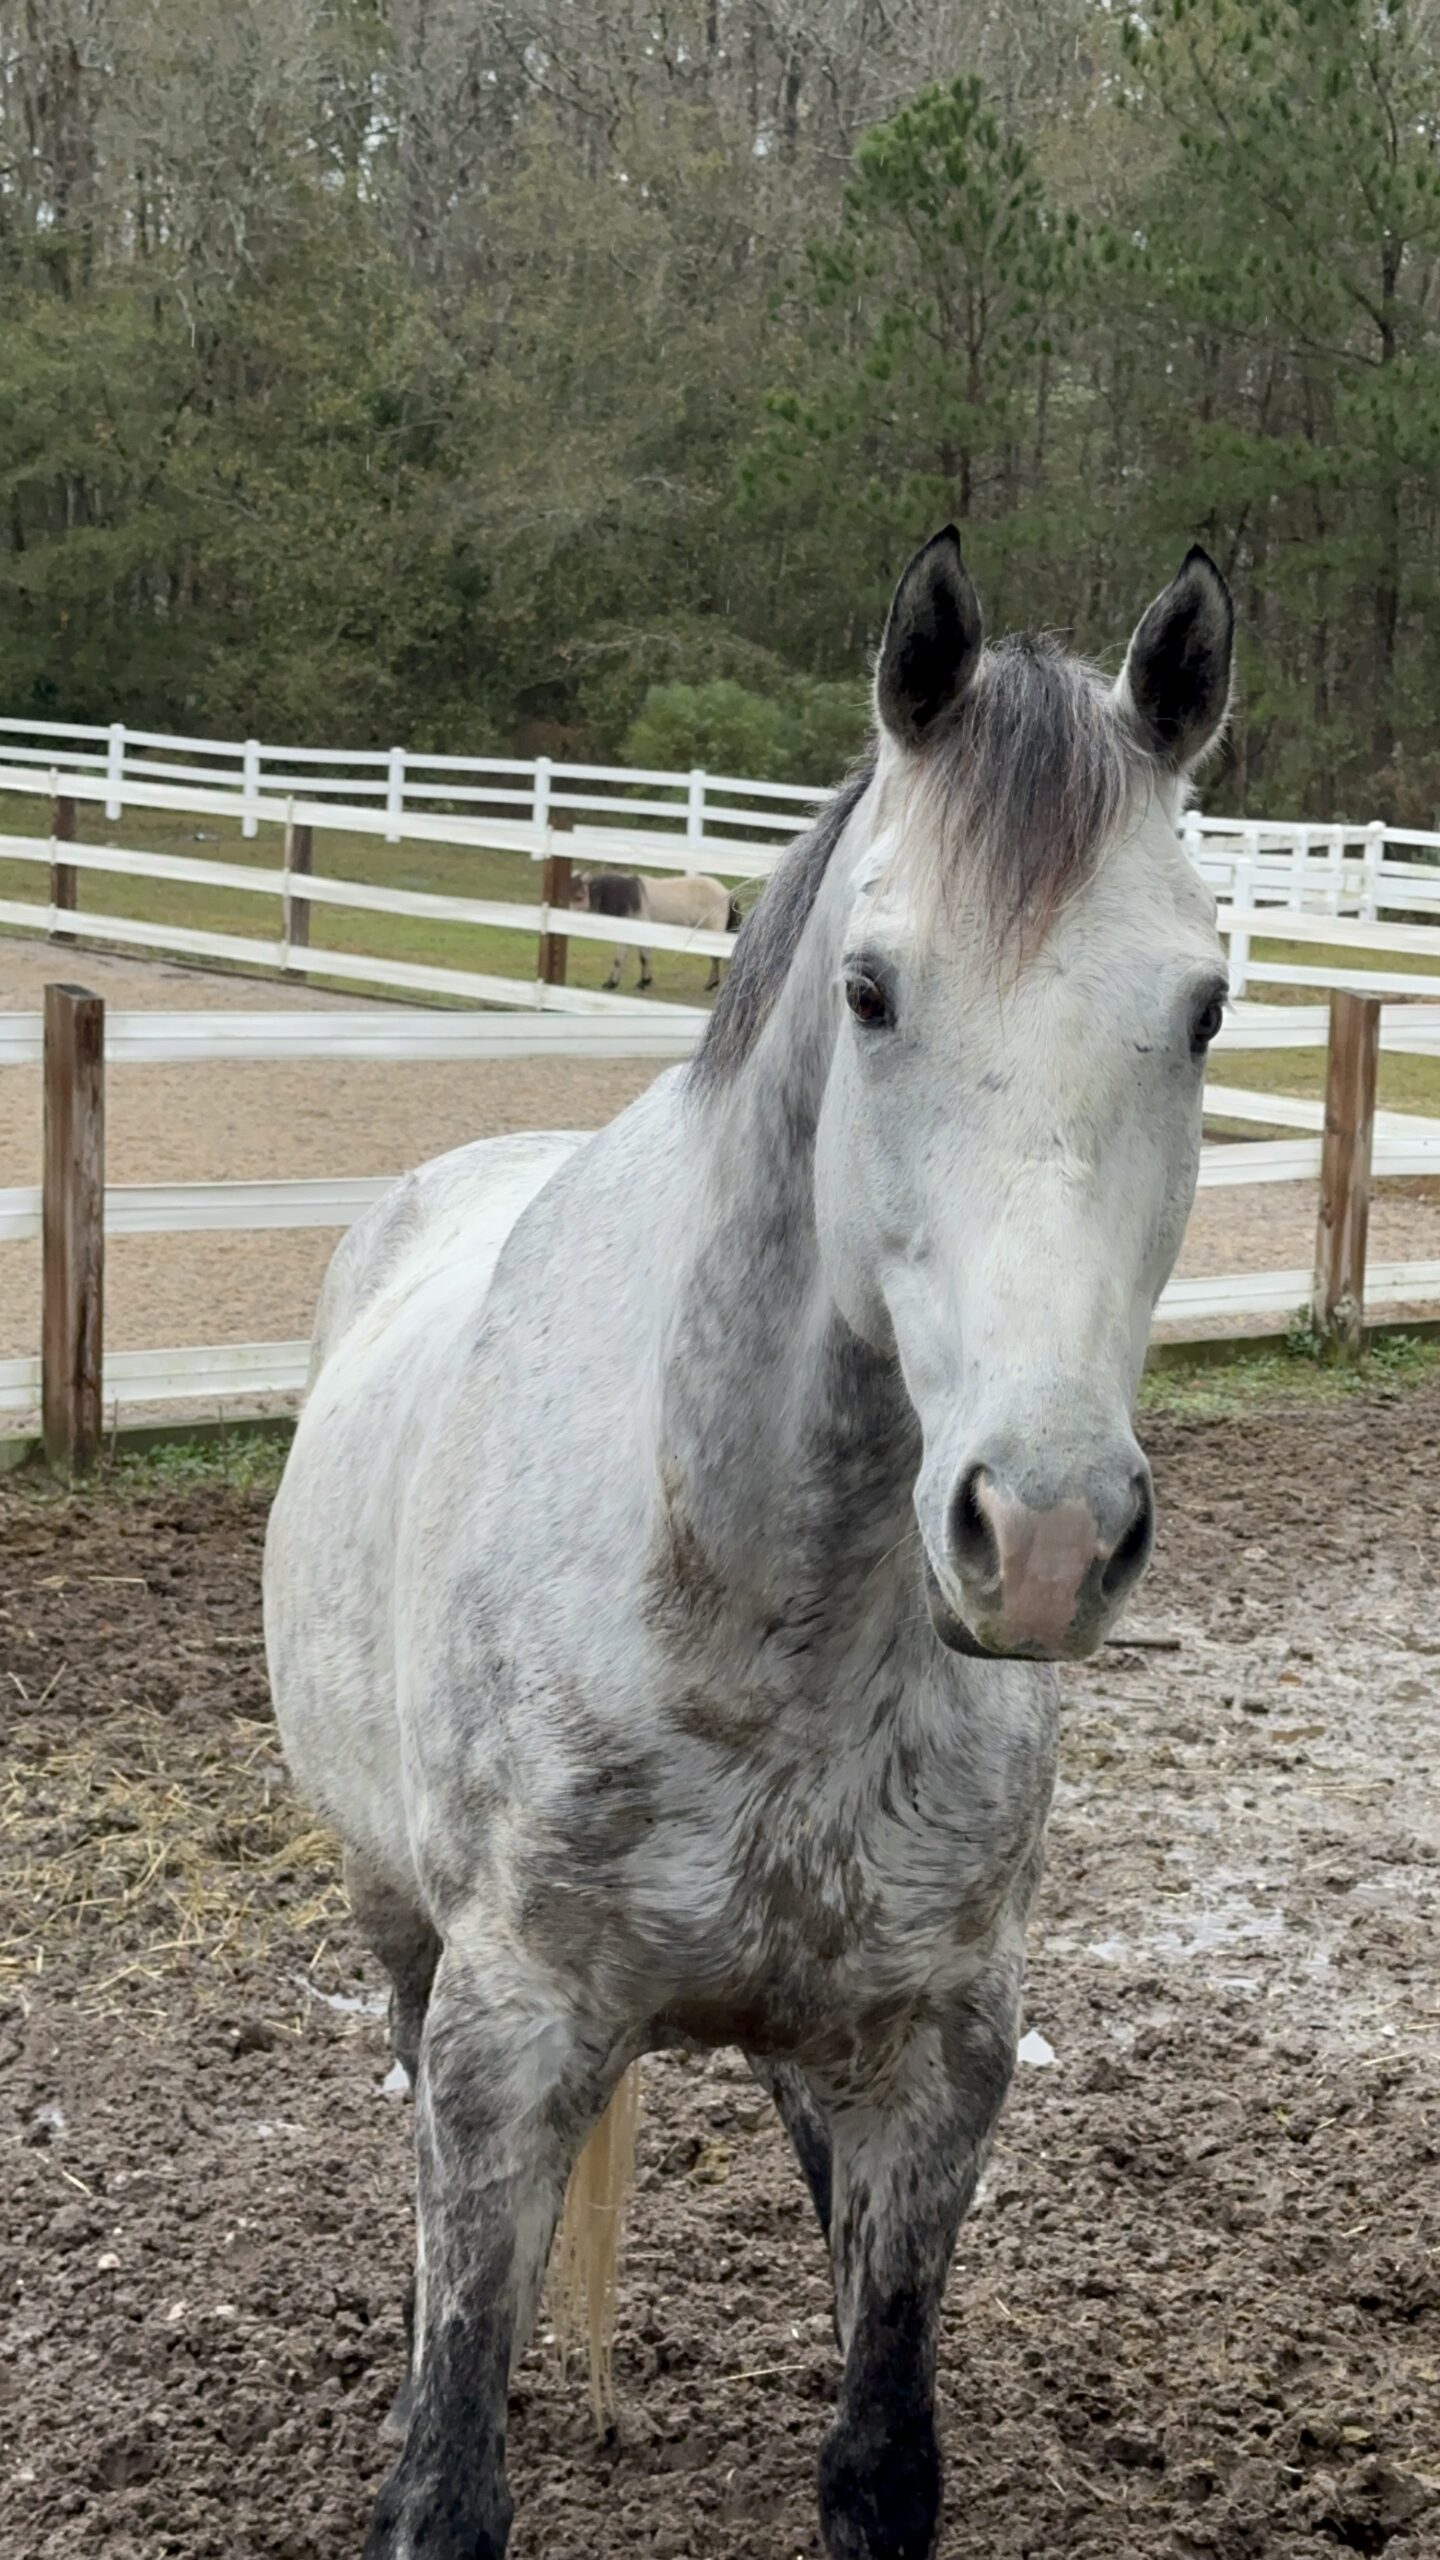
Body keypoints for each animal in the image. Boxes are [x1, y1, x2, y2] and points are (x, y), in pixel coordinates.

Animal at [570, 865, 741, 989]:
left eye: (579, 896)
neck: (629, 897)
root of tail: (727, 892)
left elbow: (640, 957)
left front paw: (638, 983)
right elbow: (629, 958)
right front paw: (635, 981)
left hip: (713, 929)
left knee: (717, 957)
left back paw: (712, 984)